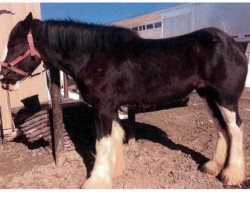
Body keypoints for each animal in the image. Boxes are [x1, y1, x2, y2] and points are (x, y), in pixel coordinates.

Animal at [0, 12, 247, 189]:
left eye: (13, 45)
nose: (5, 80)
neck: (92, 55)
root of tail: (234, 45)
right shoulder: (111, 106)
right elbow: (116, 135)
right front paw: (115, 170)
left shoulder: (102, 107)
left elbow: (102, 141)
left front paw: (96, 182)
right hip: (209, 97)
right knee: (222, 129)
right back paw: (213, 167)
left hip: (225, 98)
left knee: (235, 128)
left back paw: (232, 175)